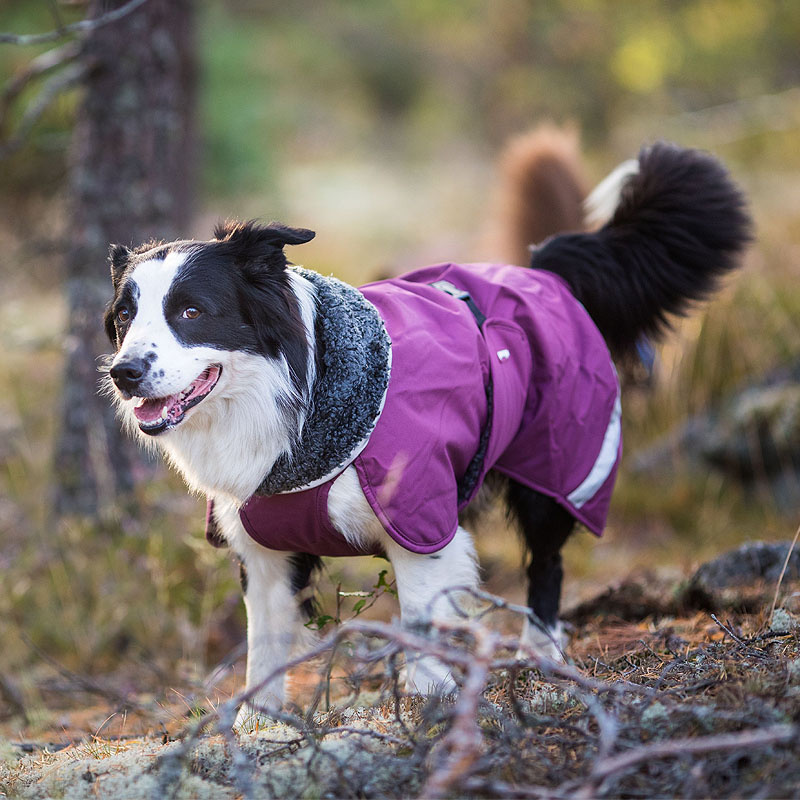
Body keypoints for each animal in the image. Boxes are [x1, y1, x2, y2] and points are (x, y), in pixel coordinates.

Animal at [104, 142, 752, 724]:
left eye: (191, 311)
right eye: (124, 318)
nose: (123, 372)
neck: (300, 403)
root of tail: (543, 267)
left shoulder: (420, 517)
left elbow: (419, 612)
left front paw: (428, 699)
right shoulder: (261, 548)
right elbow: (265, 640)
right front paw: (256, 722)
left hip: (556, 466)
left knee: (546, 566)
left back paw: (541, 656)